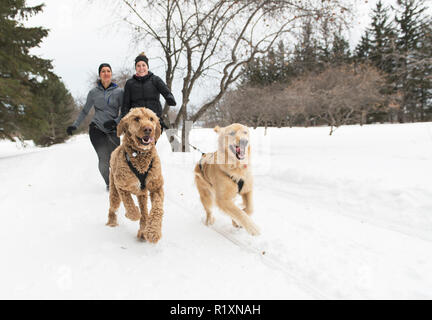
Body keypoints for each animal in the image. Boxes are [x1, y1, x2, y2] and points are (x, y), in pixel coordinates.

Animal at [106, 107, 164, 242]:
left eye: (151, 119)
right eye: (136, 119)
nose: (148, 129)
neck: (140, 155)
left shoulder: (156, 186)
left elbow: (157, 208)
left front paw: (153, 231)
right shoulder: (121, 186)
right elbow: (129, 204)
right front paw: (133, 213)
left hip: (142, 195)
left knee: (144, 211)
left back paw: (143, 230)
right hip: (114, 192)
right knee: (113, 207)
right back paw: (112, 221)